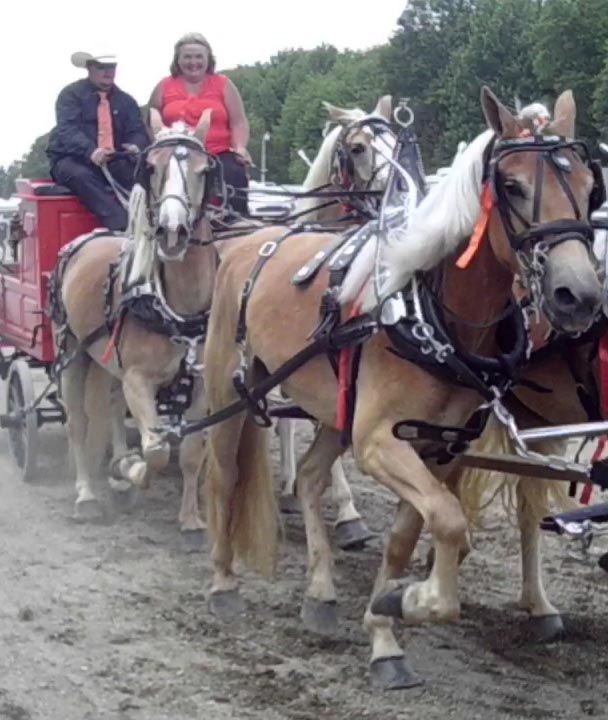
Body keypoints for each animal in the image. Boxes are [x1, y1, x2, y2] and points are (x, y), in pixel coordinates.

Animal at [50, 109, 216, 548]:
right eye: (152, 168)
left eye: (202, 169)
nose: (173, 231)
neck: (175, 307)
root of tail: (87, 239)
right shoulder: (139, 380)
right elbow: (156, 449)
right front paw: (134, 470)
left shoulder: (200, 384)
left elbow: (191, 452)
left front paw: (191, 521)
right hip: (72, 352)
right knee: (78, 423)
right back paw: (87, 495)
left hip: (109, 362)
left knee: (109, 406)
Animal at [202, 87, 600, 688]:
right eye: (511, 186)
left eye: (589, 183)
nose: (578, 294)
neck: (428, 313)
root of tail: (258, 236)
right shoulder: (377, 442)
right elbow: (450, 521)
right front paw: (413, 601)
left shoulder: (435, 446)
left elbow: (409, 536)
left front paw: (387, 621)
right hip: (233, 390)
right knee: (226, 476)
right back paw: (223, 581)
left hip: (334, 410)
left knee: (312, 477)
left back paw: (320, 591)